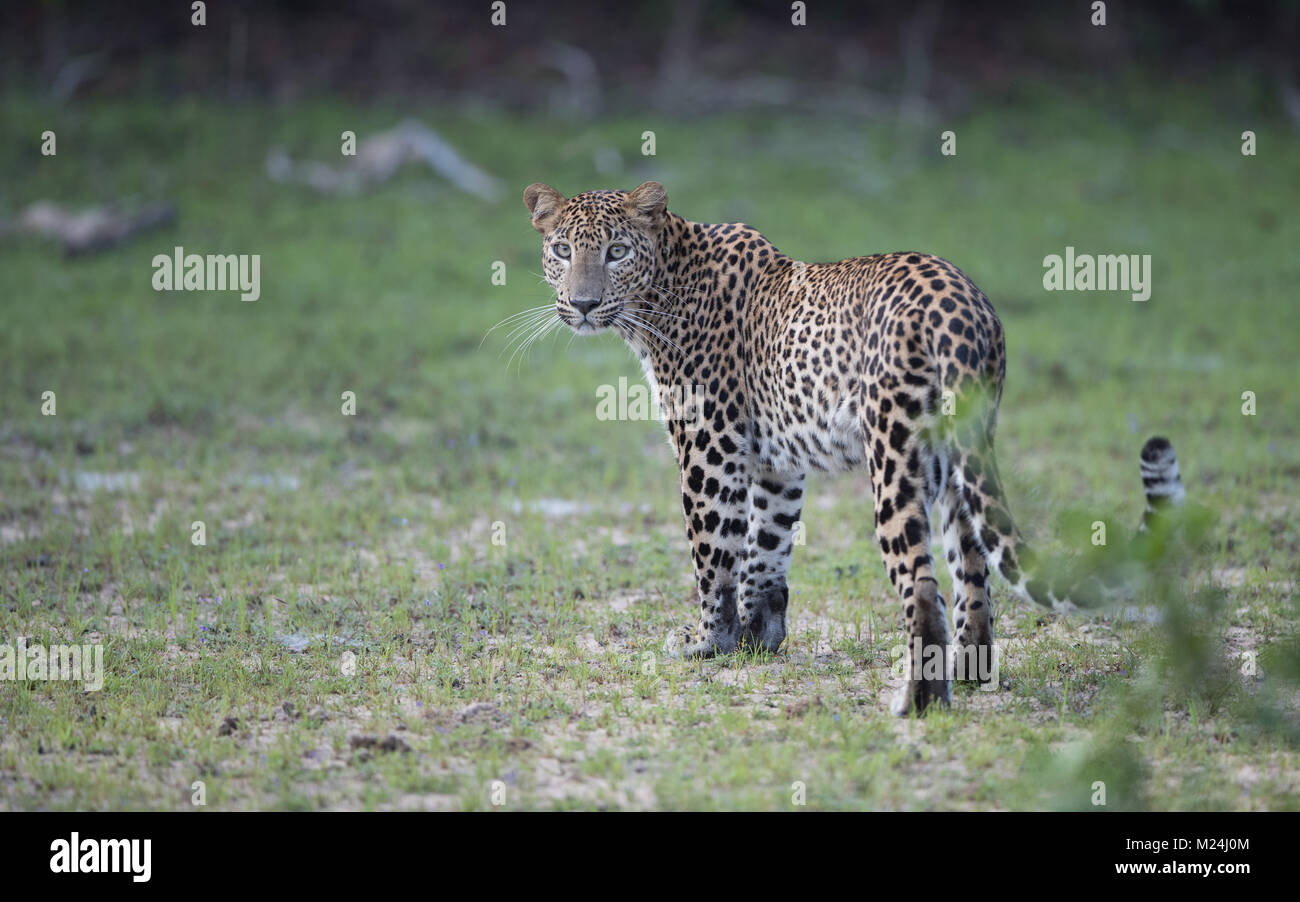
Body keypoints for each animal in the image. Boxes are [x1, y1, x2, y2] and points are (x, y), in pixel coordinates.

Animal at [521, 180, 1185, 715]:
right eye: (562, 251)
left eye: (615, 251)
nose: (582, 304)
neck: (660, 291)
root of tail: (963, 306)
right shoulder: (775, 462)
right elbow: (766, 547)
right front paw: (757, 638)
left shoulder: (709, 448)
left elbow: (713, 552)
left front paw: (707, 641)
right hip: (959, 462)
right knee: (973, 571)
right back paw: (968, 675)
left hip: (893, 458)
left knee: (922, 585)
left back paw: (918, 704)